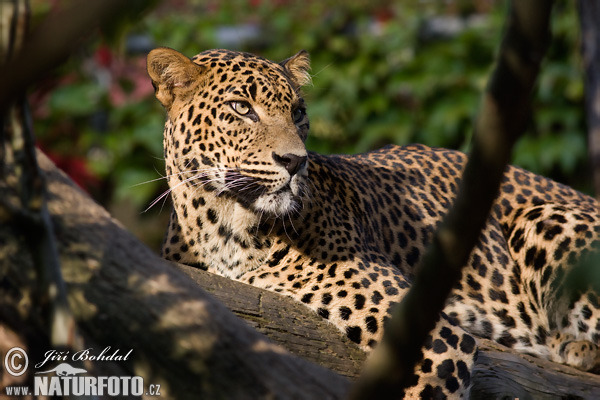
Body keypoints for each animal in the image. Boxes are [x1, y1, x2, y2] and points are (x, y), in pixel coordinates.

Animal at [148, 47, 600, 400]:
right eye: (242, 108)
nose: (295, 161)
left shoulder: (436, 340)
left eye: (297, 113)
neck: (222, 227)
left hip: (539, 216)